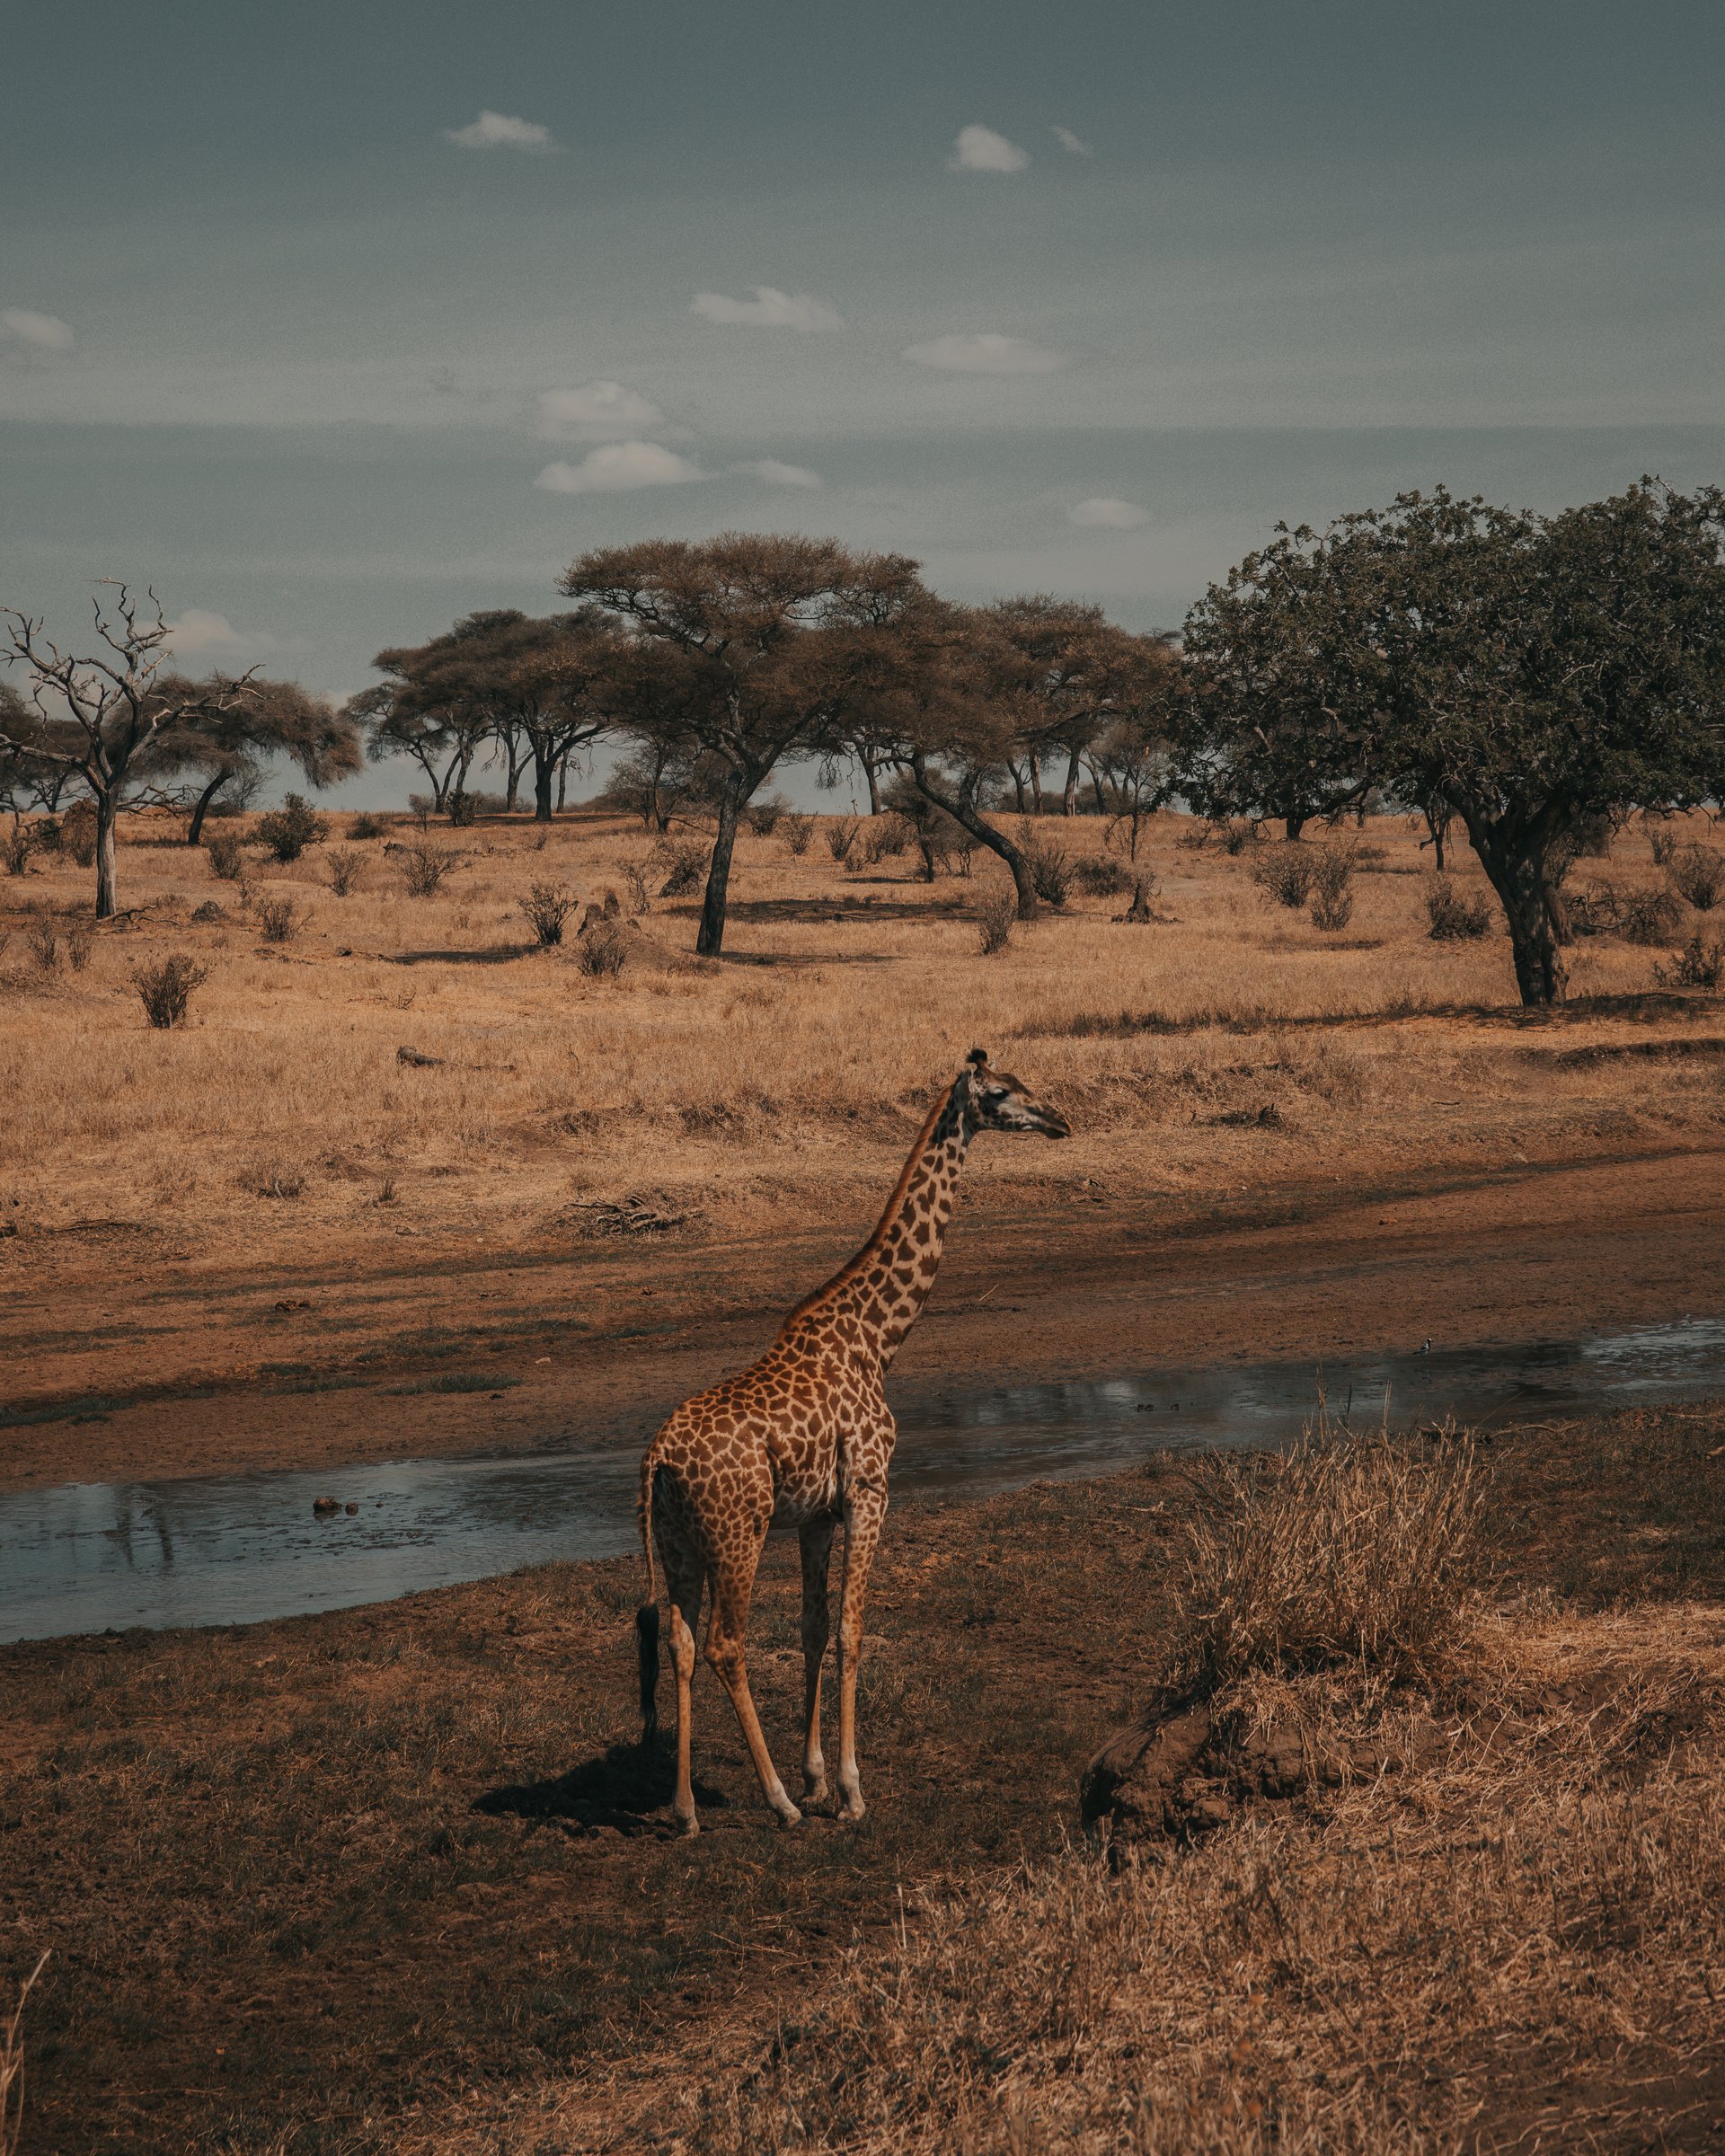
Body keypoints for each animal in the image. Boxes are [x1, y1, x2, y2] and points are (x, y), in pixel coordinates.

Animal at [634, 1048, 1070, 1834]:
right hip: (738, 1533)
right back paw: (776, 1803)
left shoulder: (817, 1515)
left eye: (1026, 1085)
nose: (1059, 1120)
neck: (876, 1339)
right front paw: (848, 1790)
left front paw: (816, 1779)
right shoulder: (872, 1490)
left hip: (680, 1540)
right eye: (999, 1094)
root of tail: (658, 1459)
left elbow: (812, 1630)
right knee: (724, 1644)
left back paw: (685, 1809)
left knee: (680, 1644)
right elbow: (852, 1630)